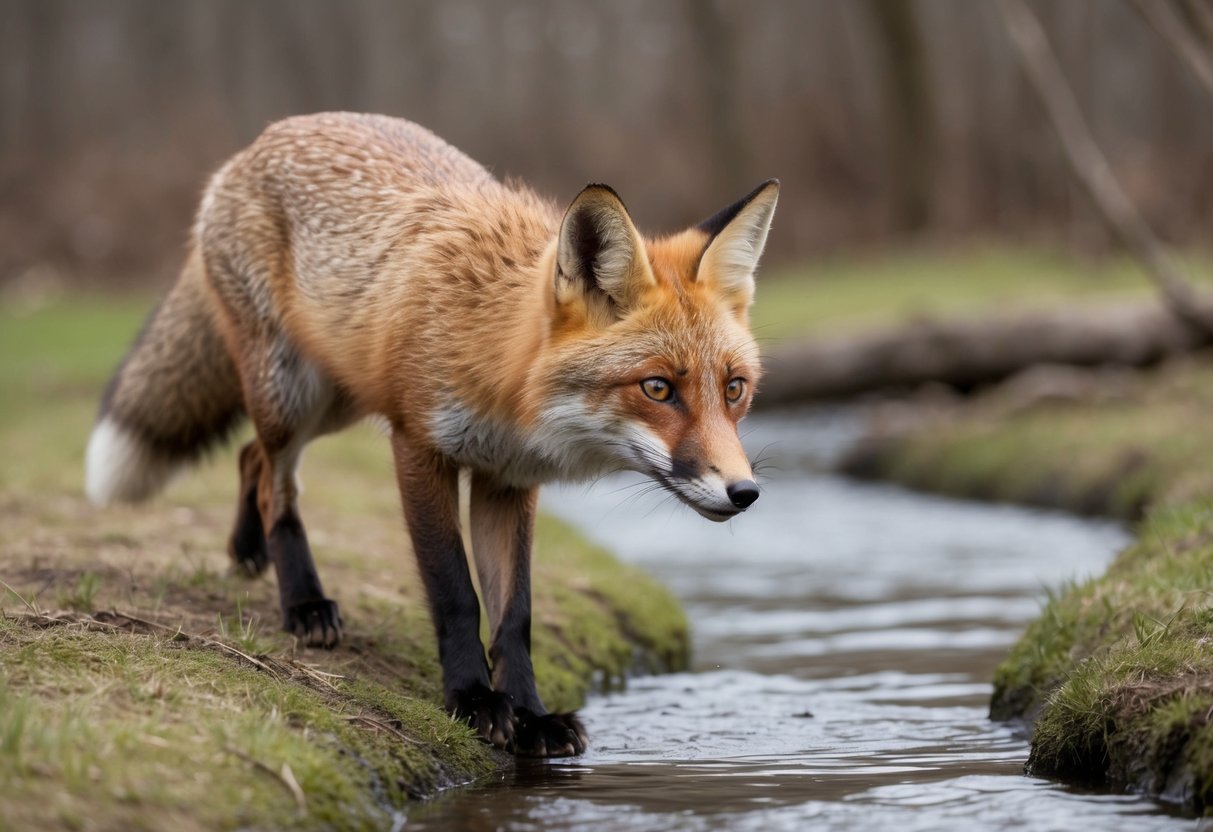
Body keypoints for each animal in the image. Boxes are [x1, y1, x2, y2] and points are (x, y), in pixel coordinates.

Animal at [85, 113, 778, 758]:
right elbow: (455, 593)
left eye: (734, 389)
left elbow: (514, 615)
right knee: (277, 484)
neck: (501, 372)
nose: (744, 493)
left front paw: (531, 717)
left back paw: (246, 550)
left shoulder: (507, 480)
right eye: (657, 388)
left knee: (249, 455)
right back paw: (304, 602)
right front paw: (472, 702)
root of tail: (264, 137)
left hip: (337, 395)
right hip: (292, 390)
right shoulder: (418, 445)